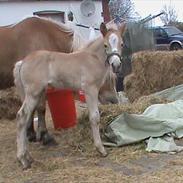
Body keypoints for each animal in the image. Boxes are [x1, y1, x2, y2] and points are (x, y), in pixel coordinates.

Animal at [0, 16, 118, 144]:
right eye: (109, 77)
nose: (115, 101)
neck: (44, 35)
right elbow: (40, 108)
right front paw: (44, 135)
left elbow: (34, 110)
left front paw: (31, 134)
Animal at [13, 22, 126, 169]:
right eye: (105, 45)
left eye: (122, 44)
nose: (116, 65)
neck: (92, 59)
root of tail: (23, 62)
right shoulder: (90, 90)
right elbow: (94, 117)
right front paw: (101, 149)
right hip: (33, 93)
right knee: (21, 117)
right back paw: (23, 159)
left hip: (36, 94)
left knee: (26, 118)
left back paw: (28, 156)